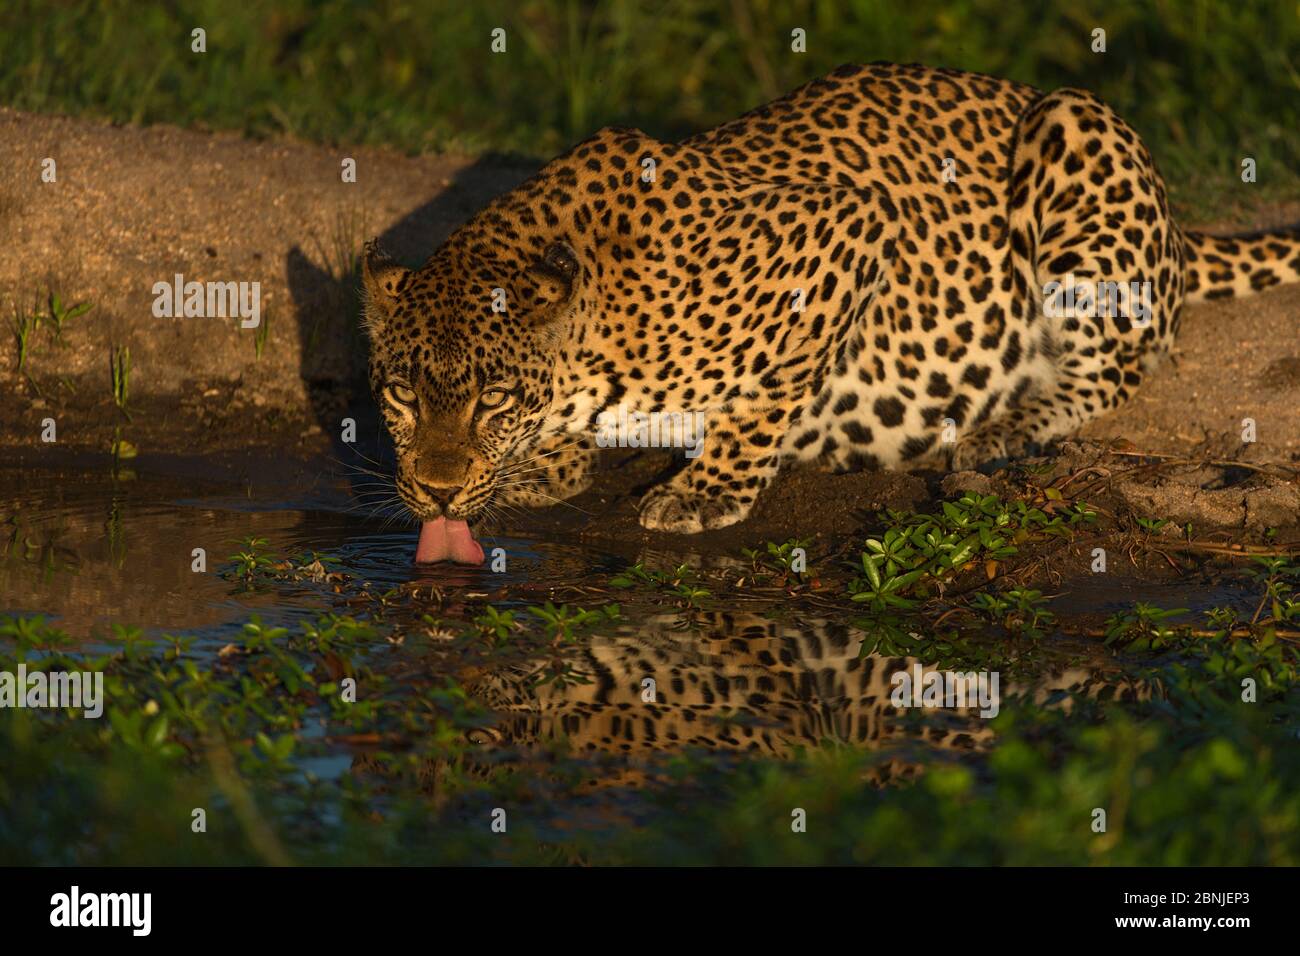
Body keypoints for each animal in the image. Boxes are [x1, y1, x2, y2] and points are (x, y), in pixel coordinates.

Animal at [364, 61, 1300, 546]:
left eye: (491, 399)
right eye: (403, 394)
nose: (437, 495)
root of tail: (1180, 230)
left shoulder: (848, 228)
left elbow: (768, 397)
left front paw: (706, 491)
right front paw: (536, 469)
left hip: (1074, 132)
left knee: (1115, 367)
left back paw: (999, 428)